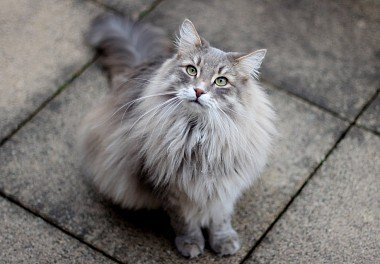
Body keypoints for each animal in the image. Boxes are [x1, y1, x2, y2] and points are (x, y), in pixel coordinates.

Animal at [79, 14, 276, 258]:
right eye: (192, 70)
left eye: (221, 81)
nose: (199, 91)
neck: (198, 135)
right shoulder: (169, 186)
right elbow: (184, 220)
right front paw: (191, 243)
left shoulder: (225, 184)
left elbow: (220, 217)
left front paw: (223, 241)